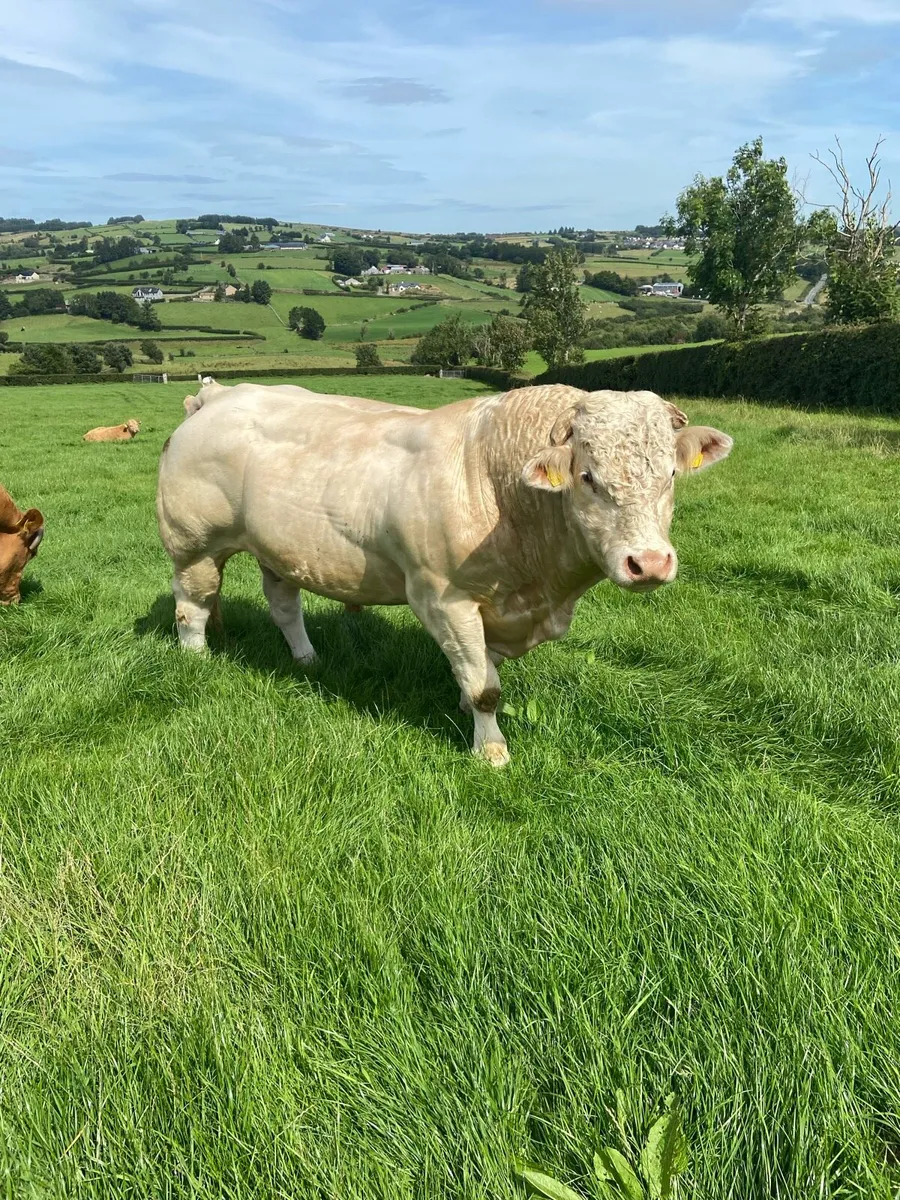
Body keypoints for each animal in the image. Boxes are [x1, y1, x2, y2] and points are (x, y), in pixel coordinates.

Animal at [157, 381, 732, 765]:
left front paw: (465, 709)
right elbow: (485, 688)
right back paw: (197, 661)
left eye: (671, 474)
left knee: (283, 605)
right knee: (192, 606)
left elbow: (482, 671)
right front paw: (491, 749)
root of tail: (217, 395)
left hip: (277, 546)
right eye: (587, 477)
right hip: (193, 544)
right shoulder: (443, 599)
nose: (649, 563)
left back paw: (307, 659)